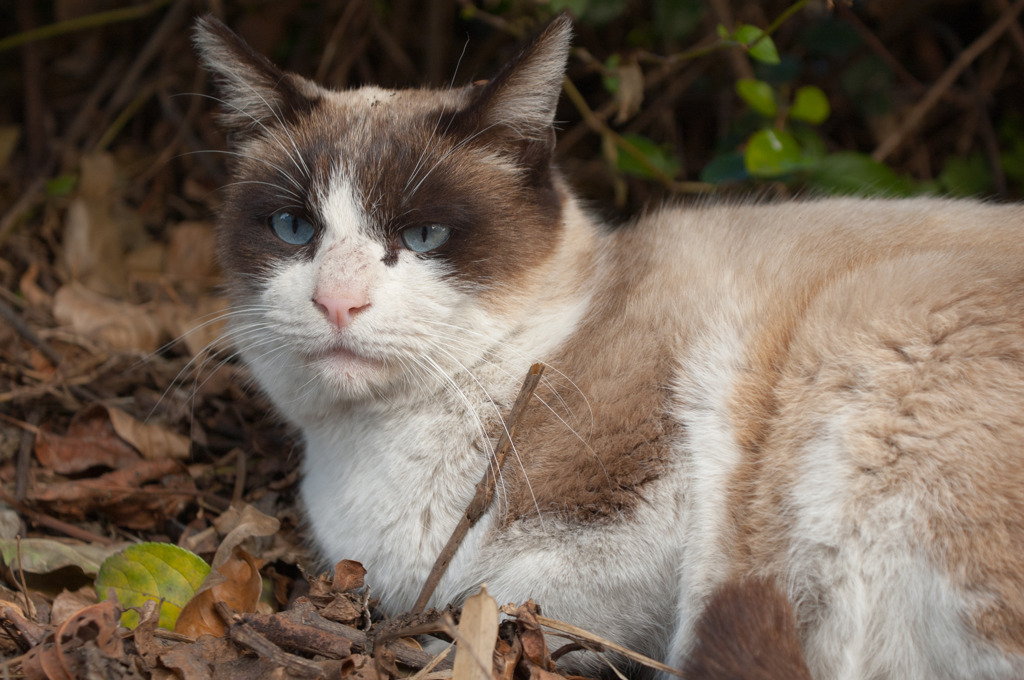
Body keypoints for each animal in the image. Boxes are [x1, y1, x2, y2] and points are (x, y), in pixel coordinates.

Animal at [193, 11, 1024, 680]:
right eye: (294, 228)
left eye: (423, 236)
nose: (338, 300)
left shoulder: (641, 517)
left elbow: (480, 603)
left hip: (867, 336)